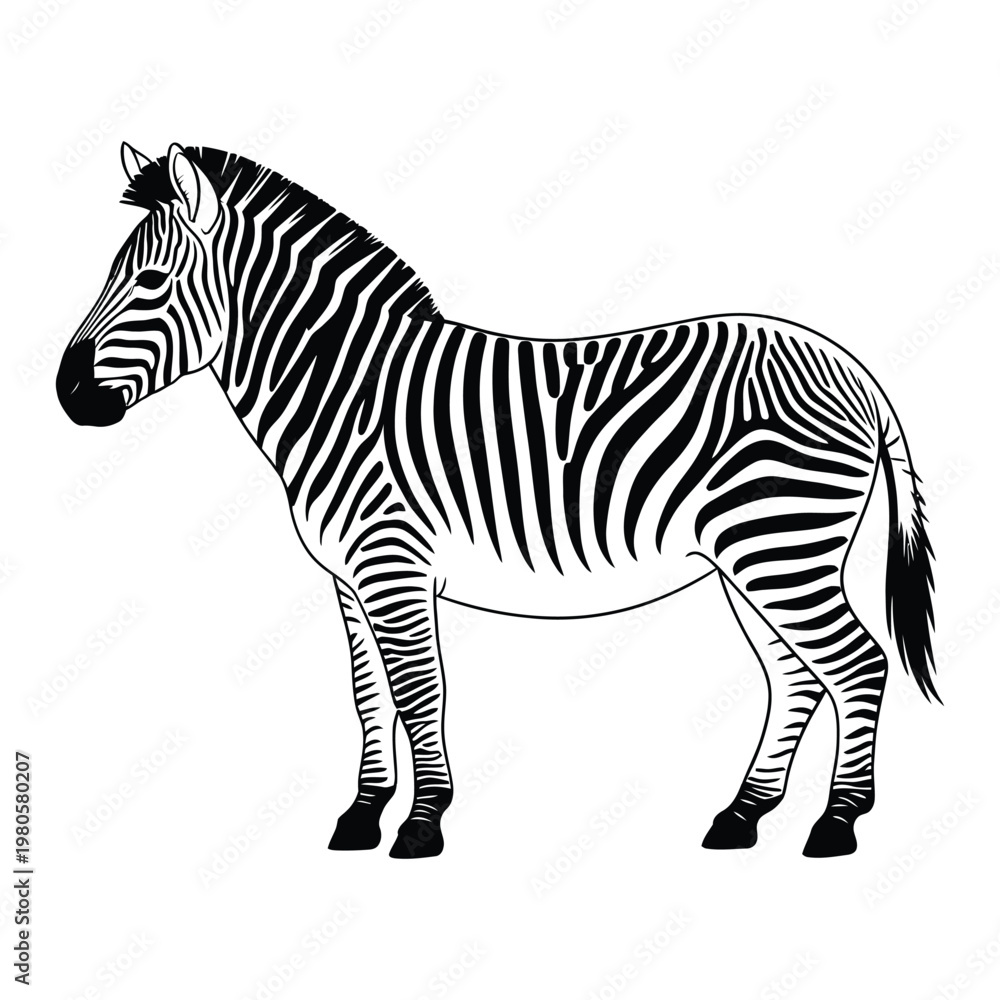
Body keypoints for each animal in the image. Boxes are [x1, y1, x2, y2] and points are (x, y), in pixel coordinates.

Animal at [57, 142, 938, 860]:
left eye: (150, 280)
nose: (66, 395)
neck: (343, 391)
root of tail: (853, 370)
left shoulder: (393, 563)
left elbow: (419, 692)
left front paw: (422, 825)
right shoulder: (347, 578)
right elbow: (368, 697)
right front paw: (362, 815)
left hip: (779, 545)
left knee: (856, 664)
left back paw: (836, 825)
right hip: (753, 560)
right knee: (795, 677)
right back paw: (741, 817)